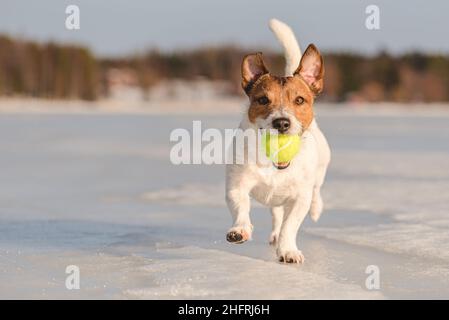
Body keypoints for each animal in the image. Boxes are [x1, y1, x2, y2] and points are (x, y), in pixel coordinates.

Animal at [224, 19, 328, 262]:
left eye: (299, 100)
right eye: (263, 100)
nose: (281, 123)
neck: (275, 165)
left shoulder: (299, 198)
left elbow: (291, 225)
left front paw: (288, 250)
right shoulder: (237, 184)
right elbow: (241, 207)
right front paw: (239, 230)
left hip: (322, 164)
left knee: (316, 189)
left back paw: (316, 208)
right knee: (277, 214)